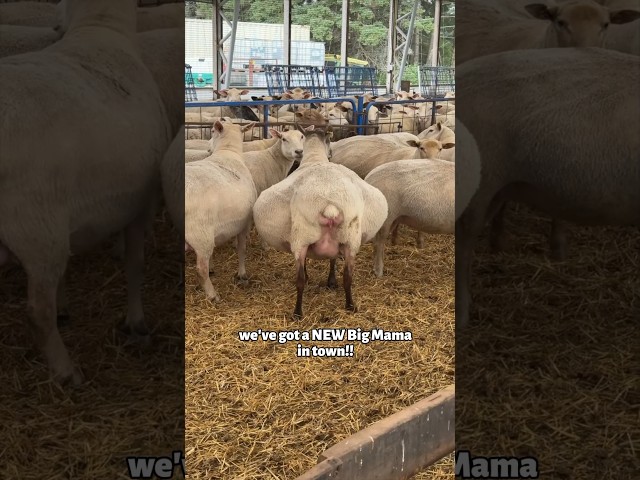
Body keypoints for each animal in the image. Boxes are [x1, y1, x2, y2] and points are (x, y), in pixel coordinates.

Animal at [0, 0, 172, 385]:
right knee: (37, 312)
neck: (101, 29)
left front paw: (66, 306)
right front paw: (136, 321)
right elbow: (135, 265)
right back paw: (66, 373)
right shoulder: (140, 200)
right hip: (36, 226)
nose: (53, 28)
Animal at [185, 120, 257, 302]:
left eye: (211, 131)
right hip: (200, 234)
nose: (208, 148)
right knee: (200, 269)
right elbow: (241, 249)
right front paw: (242, 274)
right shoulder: (244, 223)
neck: (228, 152)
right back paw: (213, 295)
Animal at [252, 127, 388, 318]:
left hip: (302, 237)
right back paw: (350, 305)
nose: (331, 154)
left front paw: (329, 281)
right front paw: (332, 281)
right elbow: (333, 260)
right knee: (348, 276)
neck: (315, 158)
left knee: (300, 279)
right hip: (350, 239)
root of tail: (329, 204)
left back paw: (298, 312)